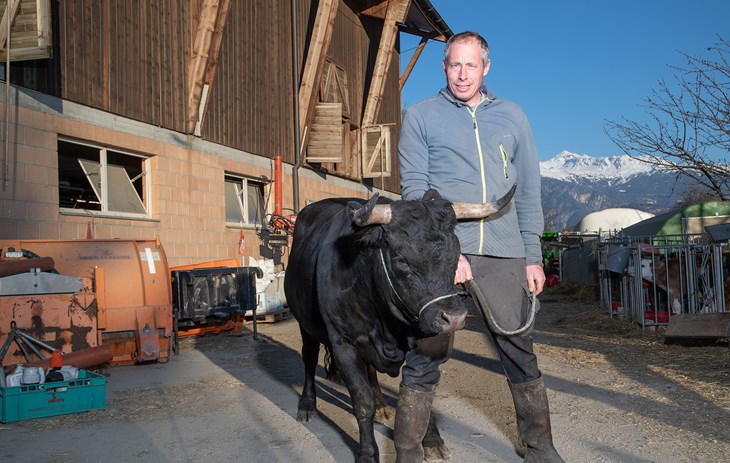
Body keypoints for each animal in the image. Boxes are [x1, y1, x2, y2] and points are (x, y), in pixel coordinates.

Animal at [282, 187, 516, 462]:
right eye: (402, 260)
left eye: (456, 254)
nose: (454, 317)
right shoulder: (343, 344)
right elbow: (362, 402)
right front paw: (367, 453)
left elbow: (420, 390)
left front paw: (431, 439)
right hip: (305, 324)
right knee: (309, 358)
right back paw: (308, 405)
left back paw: (383, 406)